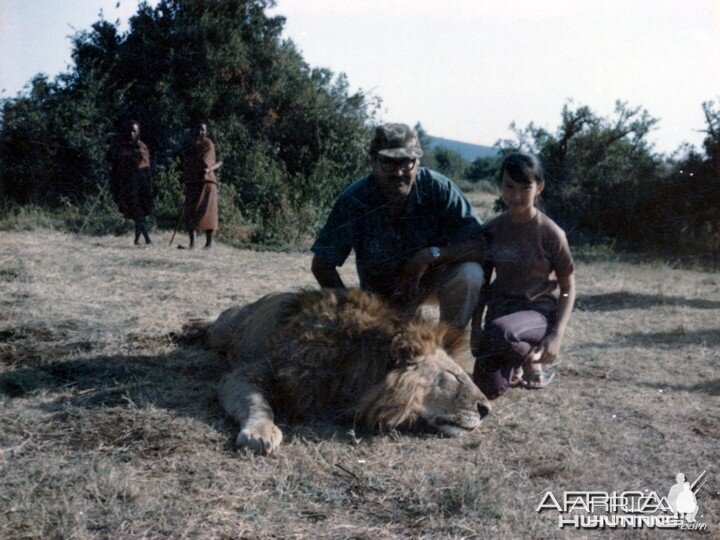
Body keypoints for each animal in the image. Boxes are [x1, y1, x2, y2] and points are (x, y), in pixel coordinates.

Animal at [188, 288, 492, 454]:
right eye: (453, 376)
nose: (487, 409)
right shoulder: (252, 372)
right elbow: (256, 402)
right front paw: (261, 433)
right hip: (226, 329)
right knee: (220, 320)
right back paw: (193, 325)